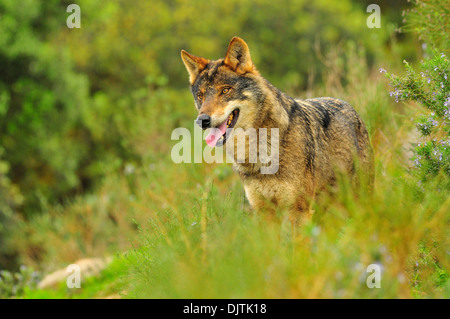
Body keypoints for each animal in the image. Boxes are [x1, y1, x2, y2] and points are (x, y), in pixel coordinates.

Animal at [181, 36, 374, 219]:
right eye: (201, 95)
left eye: (225, 90)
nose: (203, 120)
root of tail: (348, 105)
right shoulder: (264, 211)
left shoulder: (298, 209)